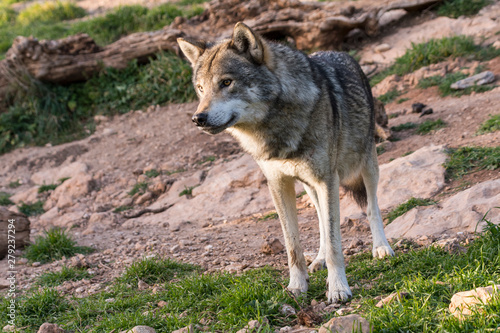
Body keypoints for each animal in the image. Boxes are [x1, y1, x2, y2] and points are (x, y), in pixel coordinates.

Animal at [178, 22, 392, 302]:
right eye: (201, 88)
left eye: (226, 82)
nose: (198, 118)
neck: (275, 130)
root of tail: (339, 52)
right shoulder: (279, 184)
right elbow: (293, 246)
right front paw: (297, 286)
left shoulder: (327, 179)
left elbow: (336, 242)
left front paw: (338, 288)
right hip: (310, 186)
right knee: (322, 221)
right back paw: (319, 259)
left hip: (365, 166)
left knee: (371, 207)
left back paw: (381, 248)